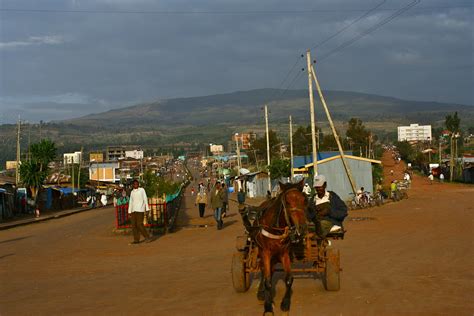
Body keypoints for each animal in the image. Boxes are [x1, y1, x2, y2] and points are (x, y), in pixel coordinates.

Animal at [254, 180, 310, 316]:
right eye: (288, 202)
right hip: (260, 250)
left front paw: (285, 303)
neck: (276, 228)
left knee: (271, 270)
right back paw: (261, 292)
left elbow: (289, 279)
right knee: (263, 270)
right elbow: (268, 281)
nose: (302, 228)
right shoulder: (266, 253)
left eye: (304, 200)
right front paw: (268, 307)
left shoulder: (284, 253)